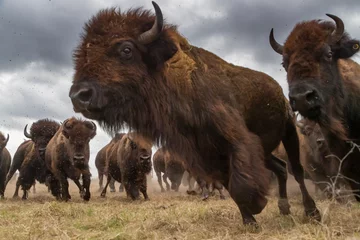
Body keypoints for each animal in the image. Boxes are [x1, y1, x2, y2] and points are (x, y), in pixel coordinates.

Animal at [69, 1, 320, 225]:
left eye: (126, 49)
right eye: (85, 54)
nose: (79, 95)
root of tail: (277, 88)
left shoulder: (235, 141)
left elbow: (239, 181)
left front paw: (257, 206)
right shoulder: (207, 155)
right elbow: (229, 184)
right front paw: (250, 218)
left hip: (289, 131)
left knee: (296, 170)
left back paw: (311, 212)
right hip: (267, 149)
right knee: (280, 168)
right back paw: (284, 207)